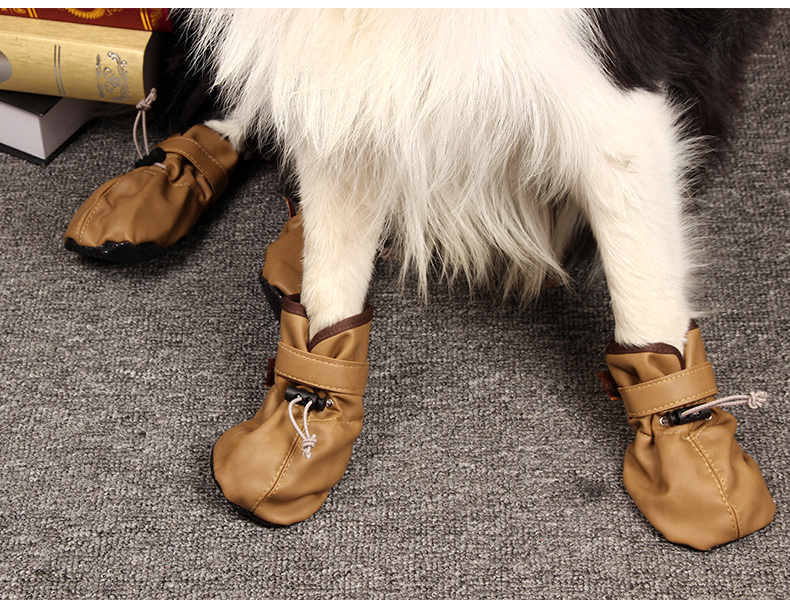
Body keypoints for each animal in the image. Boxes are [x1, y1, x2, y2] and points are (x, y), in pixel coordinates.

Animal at [177, 9, 776, 547]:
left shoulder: (615, 93)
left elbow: (644, 277)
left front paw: (693, 459)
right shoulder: (339, 75)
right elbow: (331, 266)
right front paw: (304, 411)